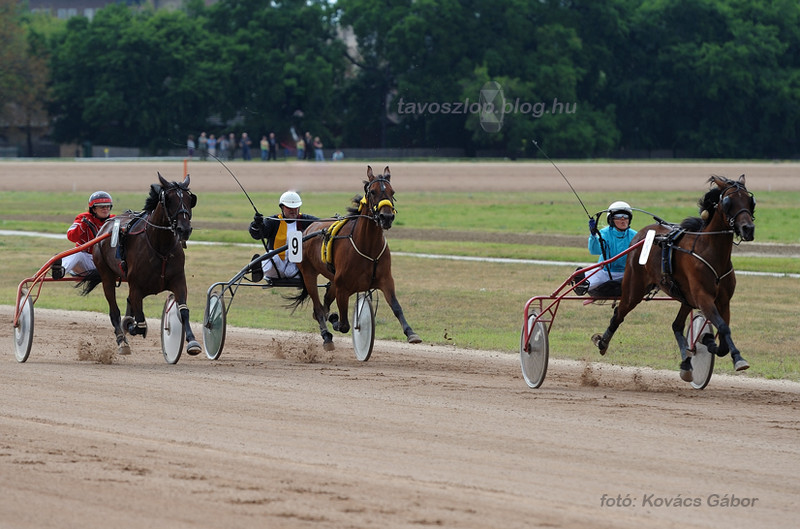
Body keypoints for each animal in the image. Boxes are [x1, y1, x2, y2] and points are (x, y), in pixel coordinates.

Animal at [78, 173, 202, 354]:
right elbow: (140, 323)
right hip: (106, 275)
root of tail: (104, 227)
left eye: (189, 198)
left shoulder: (179, 280)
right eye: (169, 200)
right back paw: (122, 341)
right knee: (114, 310)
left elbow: (183, 311)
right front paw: (130, 325)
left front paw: (193, 342)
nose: (184, 229)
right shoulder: (136, 286)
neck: (161, 248)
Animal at [290, 165, 422, 350]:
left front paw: (411, 333)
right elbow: (345, 324)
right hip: (309, 273)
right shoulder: (343, 287)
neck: (368, 247)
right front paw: (336, 321)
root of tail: (309, 228)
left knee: (325, 301)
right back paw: (326, 336)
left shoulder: (386, 280)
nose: (387, 217)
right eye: (373, 192)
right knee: (318, 307)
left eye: (392, 191)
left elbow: (396, 306)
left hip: (332, 278)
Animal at [592, 175, 756, 382]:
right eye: (729, 201)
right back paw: (603, 343)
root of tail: (643, 233)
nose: (748, 228)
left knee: (676, 325)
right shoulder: (703, 298)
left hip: (685, 297)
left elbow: (723, 335)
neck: (711, 252)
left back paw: (686, 362)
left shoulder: (723, 300)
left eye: (750, 201)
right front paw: (736, 357)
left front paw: (708, 341)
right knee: (618, 314)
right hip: (634, 289)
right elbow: (723, 327)